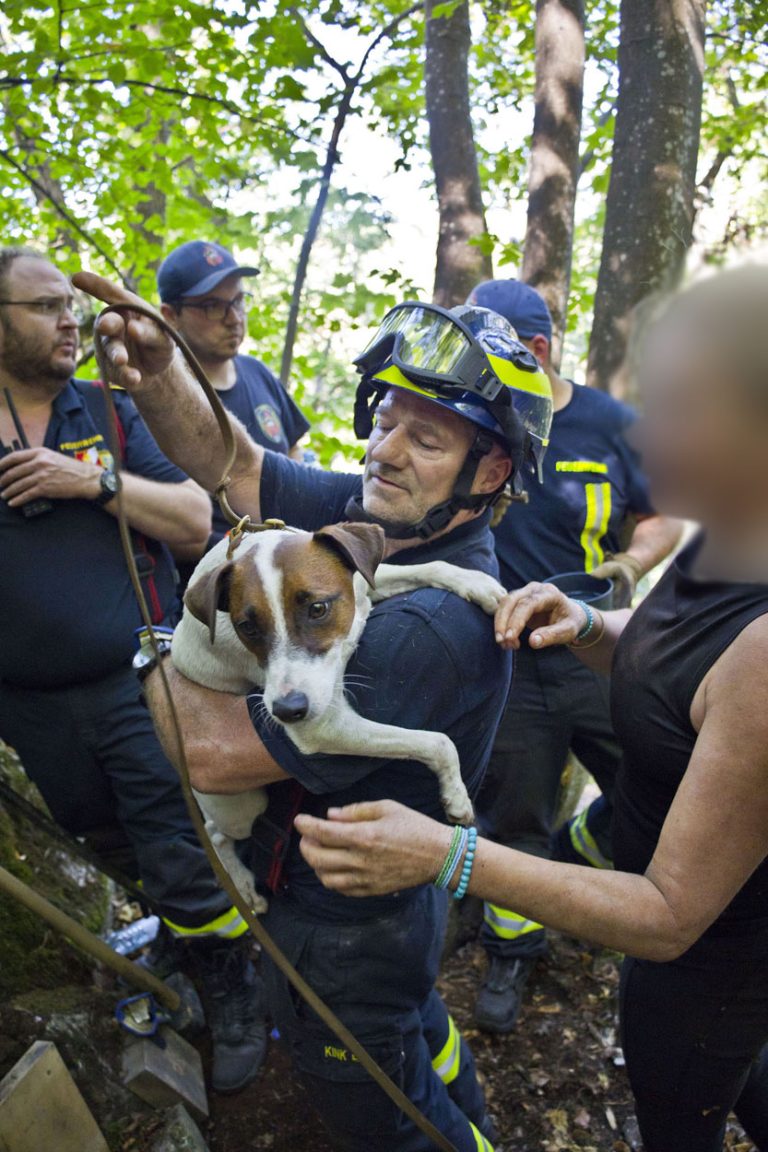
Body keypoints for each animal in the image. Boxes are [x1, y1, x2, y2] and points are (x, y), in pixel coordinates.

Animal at [172, 523, 504, 907]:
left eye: (318, 608)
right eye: (247, 627)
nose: (288, 711)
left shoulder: (363, 580)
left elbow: (425, 566)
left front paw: (475, 582)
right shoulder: (323, 726)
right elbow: (438, 741)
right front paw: (456, 794)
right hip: (243, 807)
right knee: (215, 834)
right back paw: (242, 886)